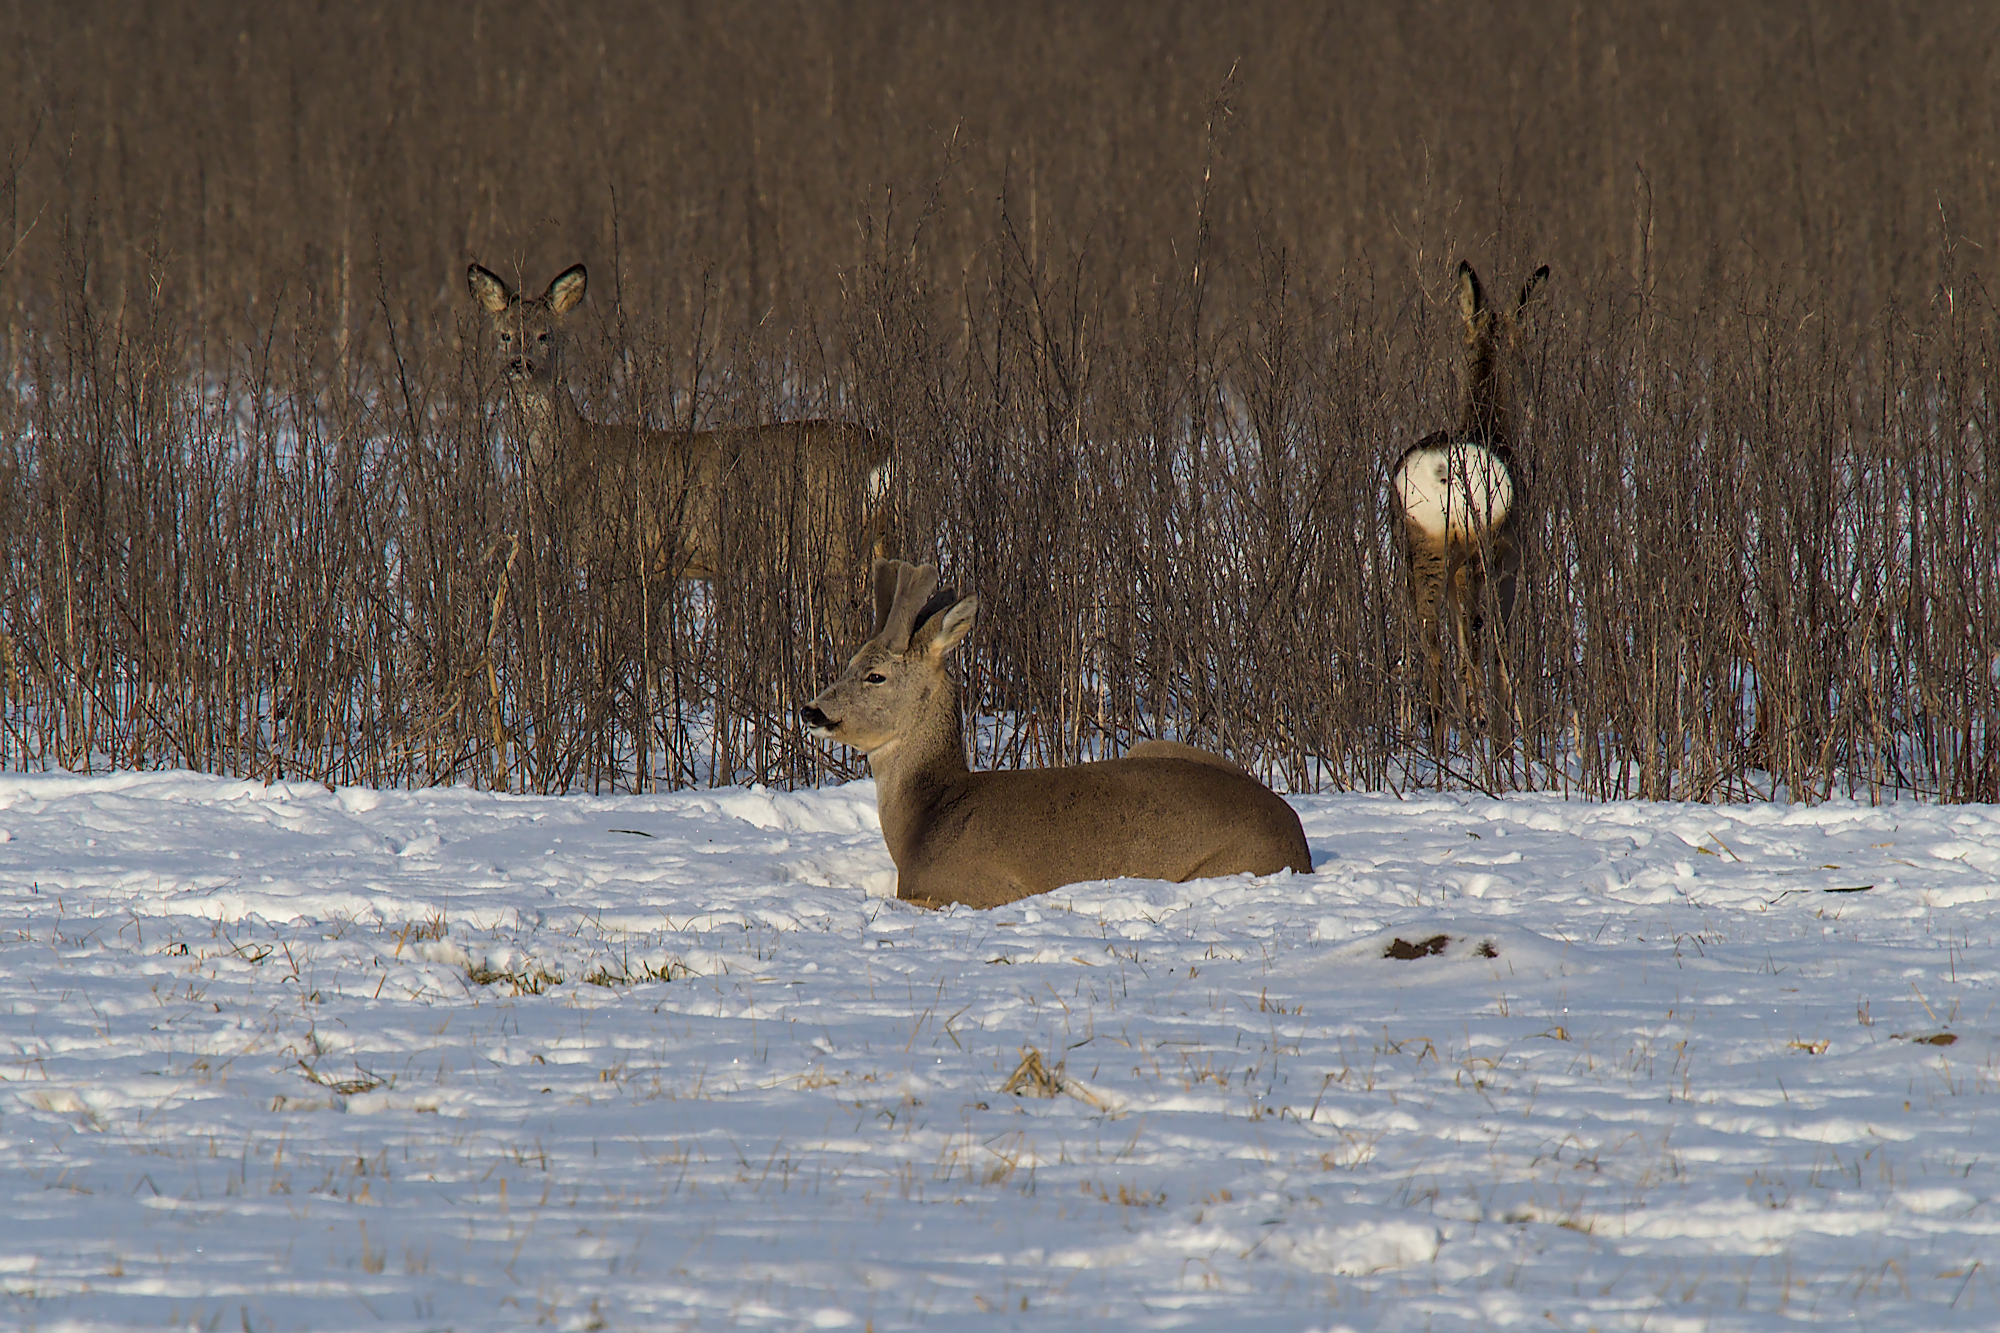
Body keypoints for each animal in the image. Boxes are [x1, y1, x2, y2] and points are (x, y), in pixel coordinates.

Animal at [468, 262, 892, 584]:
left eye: (544, 335)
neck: (573, 458)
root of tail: (880, 449)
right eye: (504, 335)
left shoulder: (624, 552)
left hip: (832, 541)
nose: (519, 364)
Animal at [796, 556, 1312, 908]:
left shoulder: (975, 887)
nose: (810, 710)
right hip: (1153, 745)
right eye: (849, 662)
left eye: (875, 675)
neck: (926, 818)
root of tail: (1299, 845)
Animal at [1392, 260, 1544, 748]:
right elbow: (1499, 644)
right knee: (1477, 634)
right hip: (1480, 546)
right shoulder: (1511, 561)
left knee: (1433, 642)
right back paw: (1480, 728)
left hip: (1421, 547)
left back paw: (1441, 738)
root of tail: (1443, 470)